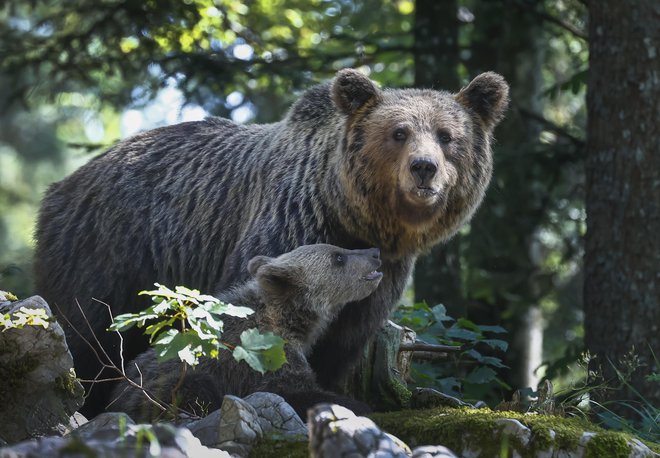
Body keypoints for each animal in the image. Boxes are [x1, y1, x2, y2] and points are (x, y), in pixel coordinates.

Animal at [34, 68, 510, 416]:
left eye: (448, 136)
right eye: (399, 132)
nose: (424, 167)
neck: (353, 217)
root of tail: (65, 182)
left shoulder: (384, 275)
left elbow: (342, 343)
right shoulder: (289, 224)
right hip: (107, 251)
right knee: (85, 331)